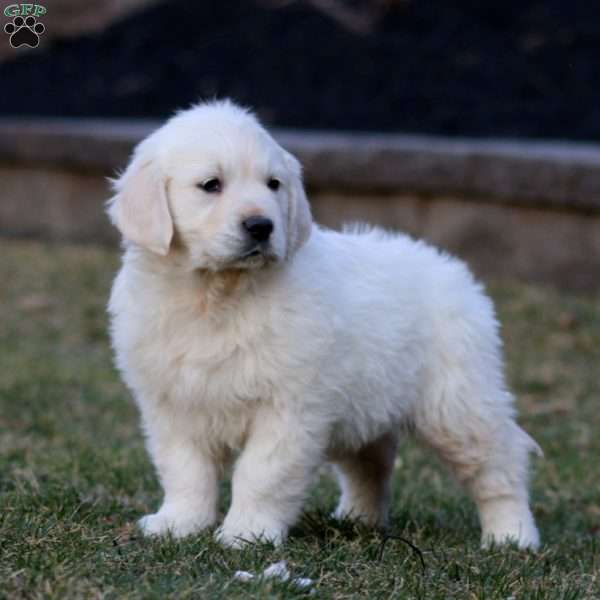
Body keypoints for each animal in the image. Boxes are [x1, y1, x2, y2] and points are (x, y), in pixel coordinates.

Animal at [109, 101, 544, 552]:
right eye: (211, 185)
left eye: (273, 184)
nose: (261, 226)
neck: (218, 294)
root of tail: (456, 271)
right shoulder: (173, 404)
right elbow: (185, 471)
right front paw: (178, 524)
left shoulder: (288, 408)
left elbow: (261, 474)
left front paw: (247, 533)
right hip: (367, 405)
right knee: (371, 464)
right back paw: (359, 519)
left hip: (458, 402)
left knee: (500, 463)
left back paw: (512, 536)